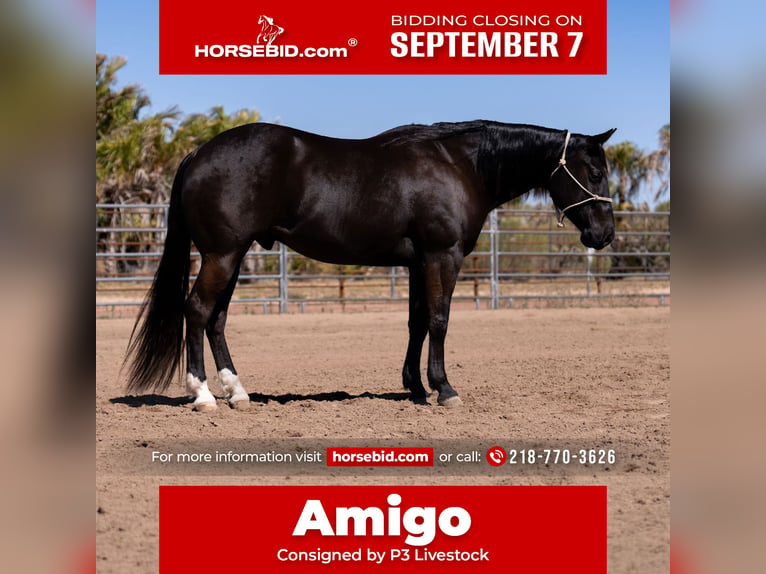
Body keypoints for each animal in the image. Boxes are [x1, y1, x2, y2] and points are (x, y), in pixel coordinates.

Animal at [124, 121, 616, 411]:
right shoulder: (443, 256)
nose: (605, 235)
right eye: (594, 173)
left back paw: (237, 393)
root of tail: (197, 153)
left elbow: (417, 322)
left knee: (217, 319)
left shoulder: (419, 262)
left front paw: (415, 386)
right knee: (197, 311)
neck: (459, 166)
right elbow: (439, 320)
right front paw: (444, 389)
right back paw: (204, 395)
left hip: (233, 254)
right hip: (222, 255)